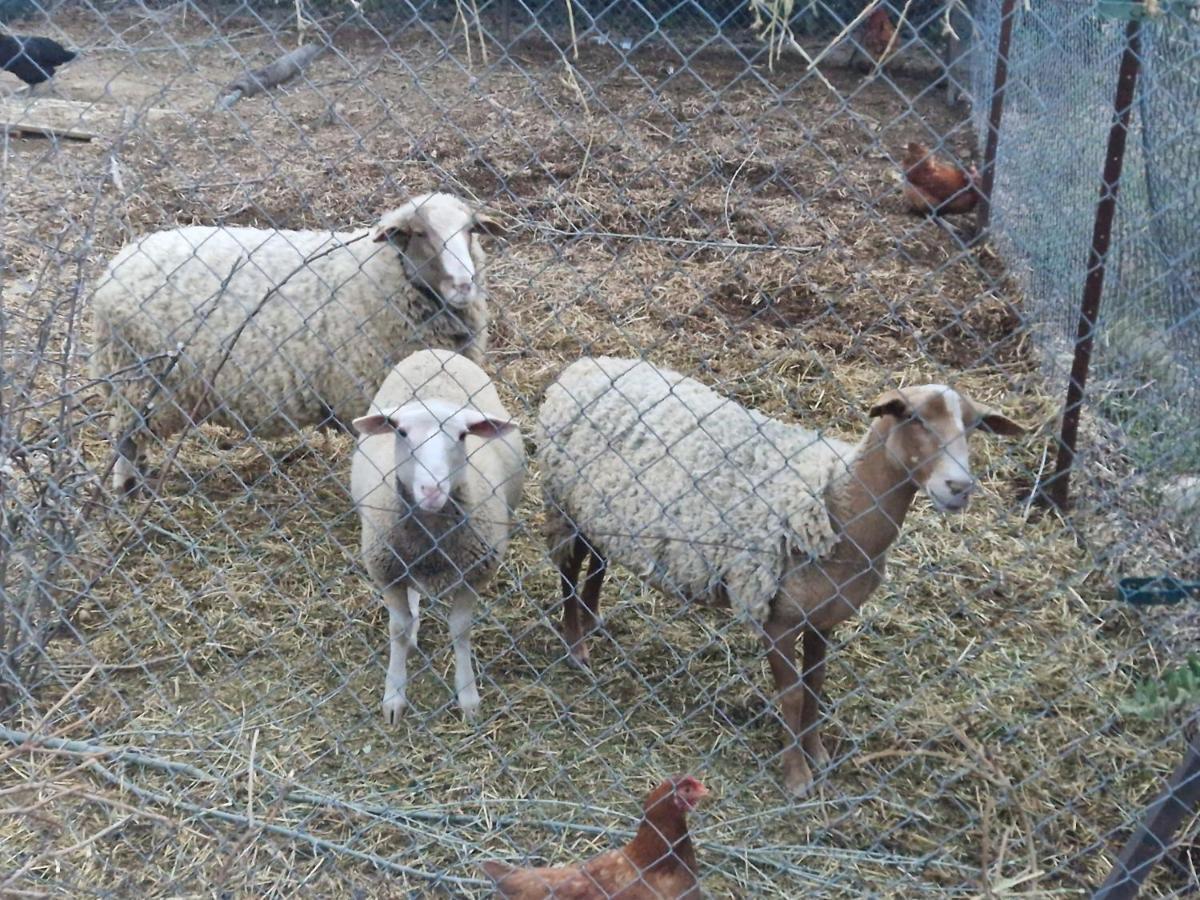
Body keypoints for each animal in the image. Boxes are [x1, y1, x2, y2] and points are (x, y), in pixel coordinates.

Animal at [90, 193, 501, 496]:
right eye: (418, 233)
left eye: (470, 231)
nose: (464, 284)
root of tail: (120, 261)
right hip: (139, 379)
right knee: (125, 437)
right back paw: (127, 487)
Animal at [350, 348, 530, 724]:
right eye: (402, 432)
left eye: (462, 436)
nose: (432, 490)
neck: (431, 538)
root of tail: (435, 351)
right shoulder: (386, 570)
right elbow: (398, 629)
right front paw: (394, 696)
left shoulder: (474, 574)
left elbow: (460, 630)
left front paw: (468, 697)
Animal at [540, 360, 1027, 796]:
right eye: (913, 417)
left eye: (974, 426)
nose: (959, 487)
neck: (835, 501)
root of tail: (585, 366)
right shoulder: (776, 616)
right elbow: (791, 696)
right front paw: (797, 778)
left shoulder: (822, 617)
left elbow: (816, 686)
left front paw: (819, 754)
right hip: (566, 502)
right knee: (569, 567)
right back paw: (576, 645)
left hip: (606, 512)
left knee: (598, 561)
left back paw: (593, 620)